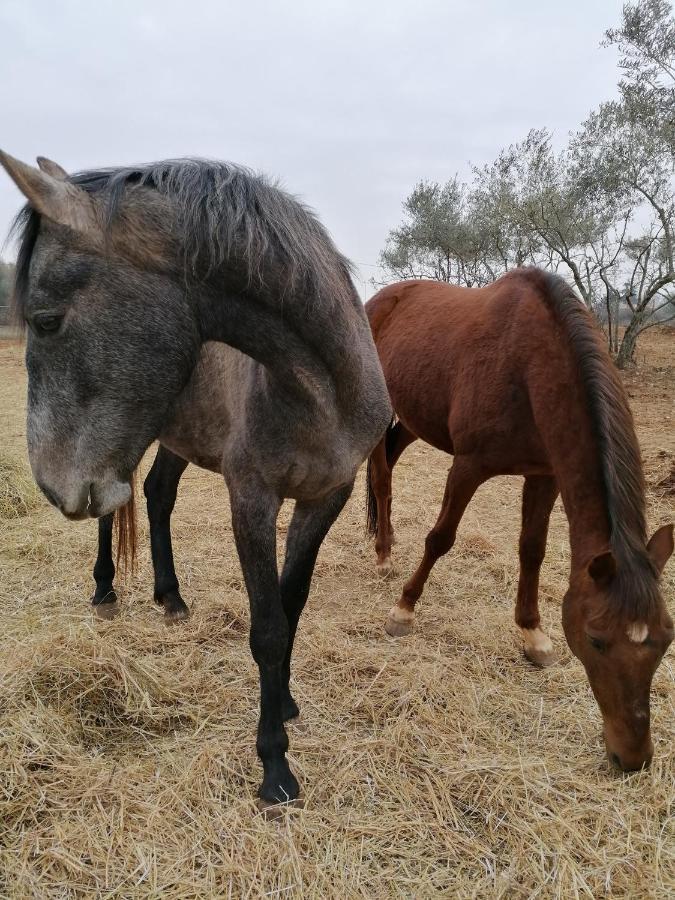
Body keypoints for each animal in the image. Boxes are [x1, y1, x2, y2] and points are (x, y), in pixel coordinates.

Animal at [1, 153, 390, 808]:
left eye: (47, 321)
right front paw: (275, 767)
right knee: (113, 512)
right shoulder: (251, 499)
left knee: (157, 497)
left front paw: (285, 702)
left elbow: (292, 605)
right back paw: (105, 590)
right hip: (126, 446)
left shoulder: (325, 497)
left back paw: (171, 596)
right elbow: (267, 627)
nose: (52, 484)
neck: (321, 388)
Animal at [370, 268, 675, 772]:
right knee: (379, 473)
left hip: (414, 418)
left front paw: (533, 635)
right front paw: (403, 610)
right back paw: (382, 555)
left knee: (390, 463)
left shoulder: (544, 474)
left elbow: (532, 549)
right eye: (595, 639)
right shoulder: (468, 466)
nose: (632, 757)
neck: (529, 366)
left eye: (666, 639)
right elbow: (441, 538)